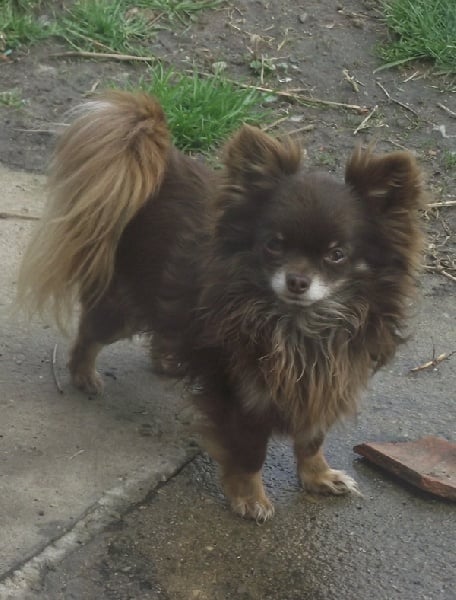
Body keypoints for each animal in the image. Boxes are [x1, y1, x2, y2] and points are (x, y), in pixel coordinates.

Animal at [17, 90, 425, 521]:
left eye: (337, 254)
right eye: (274, 244)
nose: (297, 281)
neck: (300, 326)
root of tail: (162, 169)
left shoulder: (327, 381)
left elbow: (311, 439)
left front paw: (318, 476)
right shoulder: (242, 395)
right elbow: (249, 452)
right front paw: (250, 498)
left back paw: (168, 361)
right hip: (122, 310)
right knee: (90, 333)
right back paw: (83, 374)